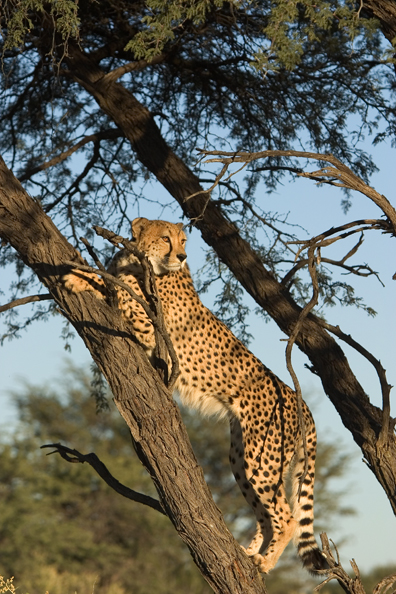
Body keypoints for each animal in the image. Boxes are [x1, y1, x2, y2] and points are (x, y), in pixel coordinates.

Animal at [63, 217, 326, 572]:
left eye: (183, 239)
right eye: (166, 238)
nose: (183, 256)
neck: (141, 262)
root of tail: (299, 400)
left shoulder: (150, 325)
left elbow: (117, 288)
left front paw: (80, 276)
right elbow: (114, 281)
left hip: (262, 459)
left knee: (287, 517)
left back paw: (263, 562)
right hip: (242, 457)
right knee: (266, 516)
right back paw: (248, 554)